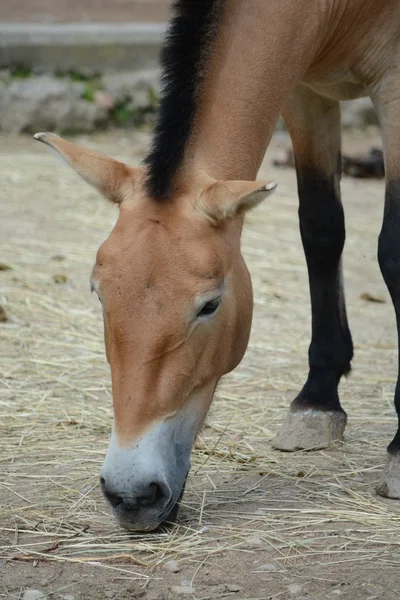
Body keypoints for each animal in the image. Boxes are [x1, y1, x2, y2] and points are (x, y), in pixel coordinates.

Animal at [33, 1, 400, 536]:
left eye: (210, 306)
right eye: (98, 294)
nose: (131, 494)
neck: (335, 13)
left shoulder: (394, 85)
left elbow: (391, 252)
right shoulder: (304, 92)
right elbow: (320, 228)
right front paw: (316, 401)